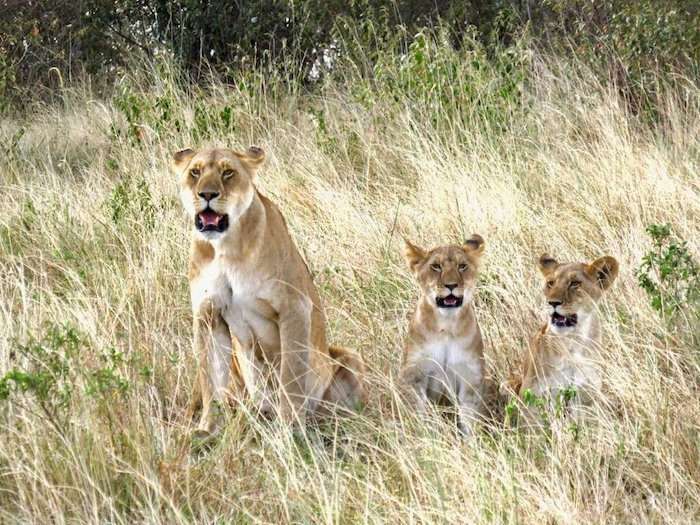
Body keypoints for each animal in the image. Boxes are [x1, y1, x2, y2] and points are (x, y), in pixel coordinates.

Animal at [172, 146, 366, 436]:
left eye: (228, 172)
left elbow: (291, 377)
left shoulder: (295, 308)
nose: (206, 194)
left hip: (349, 358)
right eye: (195, 172)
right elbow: (210, 379)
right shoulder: (208, 315)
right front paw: (207, 429)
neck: (225, 249)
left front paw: (290, 430)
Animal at [400, 235, 487, 436]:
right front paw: (425, 436)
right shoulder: (415, 373)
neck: (446, 327)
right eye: (436, 266)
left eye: (462, 266)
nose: (451, 285)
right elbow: (419, 411)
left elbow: (469, 419)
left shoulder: (470, 377)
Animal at [503, 253, 619, 421]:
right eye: (550, 283)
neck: (572, 342)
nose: (552, 303)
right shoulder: (533, 396)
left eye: (575, 283)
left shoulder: (586, 396)